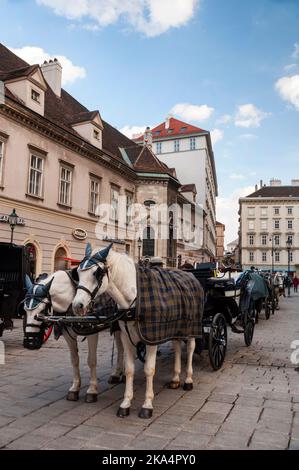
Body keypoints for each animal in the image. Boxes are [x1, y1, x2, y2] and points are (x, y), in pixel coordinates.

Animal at [23, 264, 124, 400]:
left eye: (42, 310)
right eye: (24, 310)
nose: (30, 343)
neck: (72, 298)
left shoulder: (92, 331)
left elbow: (91, 360)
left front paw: (92, 390)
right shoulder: (68, 334)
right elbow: (74, 360)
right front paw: (75, 388)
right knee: (121, 348)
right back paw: (118, 373)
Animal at [72, 246, 199, 418]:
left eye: (96, 273)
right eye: (78, 273)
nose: (77, 305)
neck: (133, 299)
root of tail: (189, 274)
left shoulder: (152, 338)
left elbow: (149, 370)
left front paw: (147, 405)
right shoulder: (127, 337)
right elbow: (129, 369)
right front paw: (126, 403)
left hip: (191, 327)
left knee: (191, 348)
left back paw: (188, 380)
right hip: (175, 327)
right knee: (178, 346)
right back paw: (175, 378)